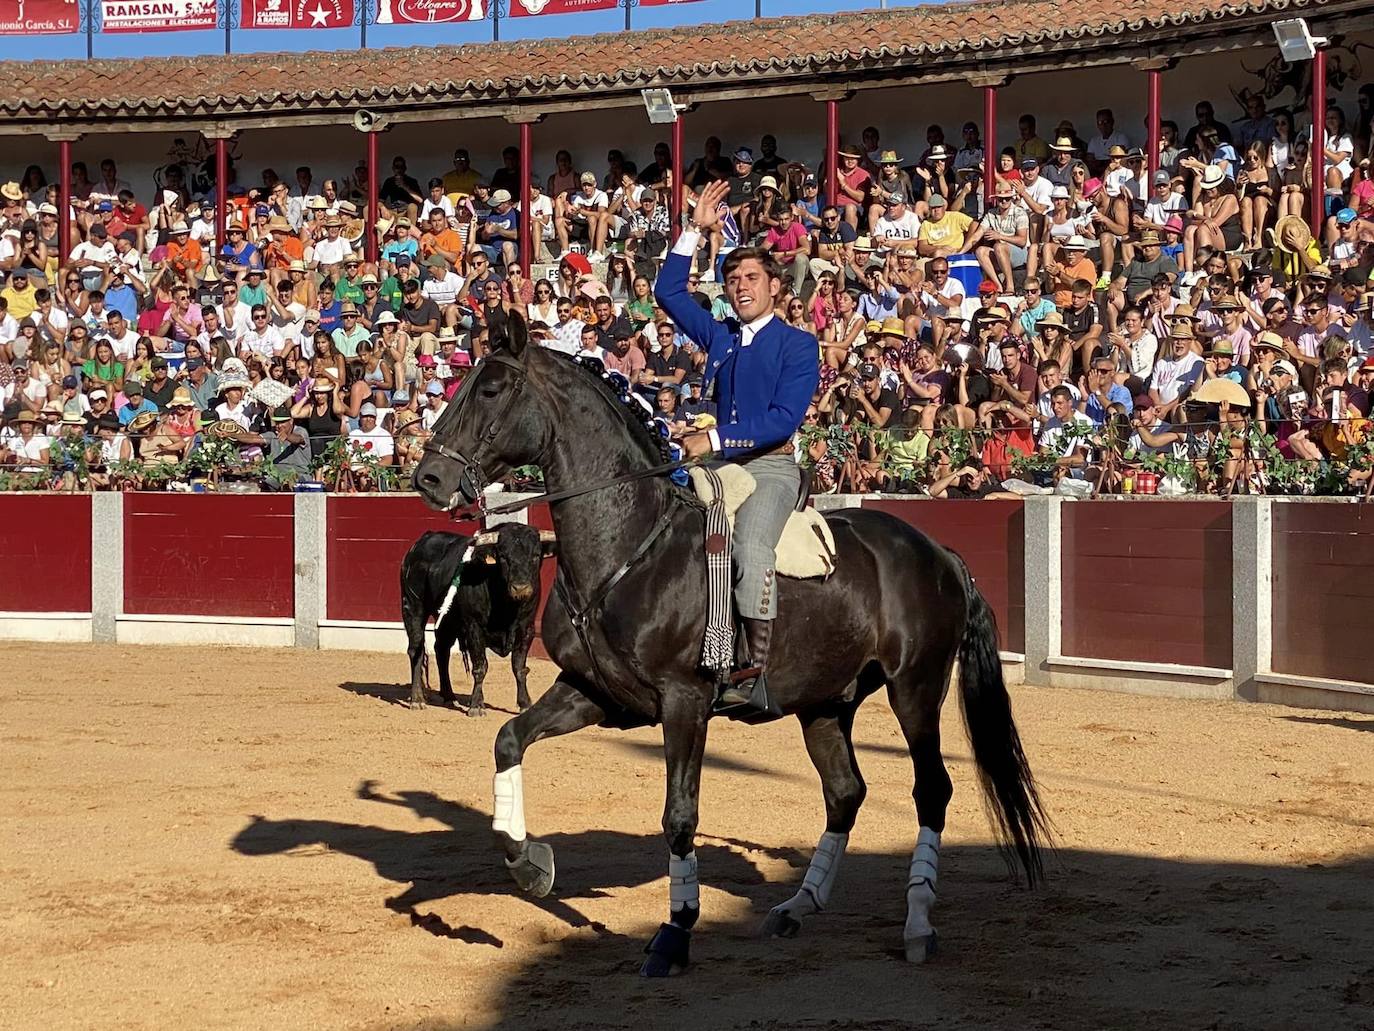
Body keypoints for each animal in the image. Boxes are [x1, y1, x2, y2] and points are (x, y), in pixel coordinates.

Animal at [398, 525, 552, 720]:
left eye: (536, 555)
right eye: (503, 556)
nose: (521, 588)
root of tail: (419, 544)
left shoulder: (526, 629)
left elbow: (519, 667)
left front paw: (525, 704)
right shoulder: (474, 627)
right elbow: (480, 667)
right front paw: (476, 706)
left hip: (448, 619)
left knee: (441, 650)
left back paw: (449, 697)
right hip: (412, 606)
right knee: (416, 650)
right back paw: (417, 699)